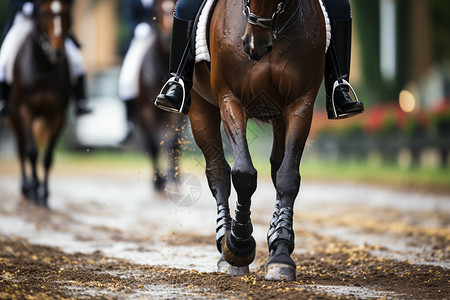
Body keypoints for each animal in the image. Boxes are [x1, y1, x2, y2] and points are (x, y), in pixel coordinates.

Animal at [5, 0, 73, 206]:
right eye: (45, 14)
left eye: (65, 14)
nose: (57, 52)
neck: (43, 67)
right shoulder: (25, 111)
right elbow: (32, 152)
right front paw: (35, 190)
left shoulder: (58, 114)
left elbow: (48, 157)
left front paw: (44, 194)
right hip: (15, 119)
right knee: (21, 150)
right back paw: (26, 188)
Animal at [188, 0, 326, 282]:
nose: (254, 45)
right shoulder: (230, 98)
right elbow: (243, 174)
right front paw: (238, 245)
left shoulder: (300, 103)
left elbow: (287, 177)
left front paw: (281, 253)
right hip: (200, 106)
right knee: (218, 172)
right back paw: (224, 243)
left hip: (280, 116)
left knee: (277, 166)